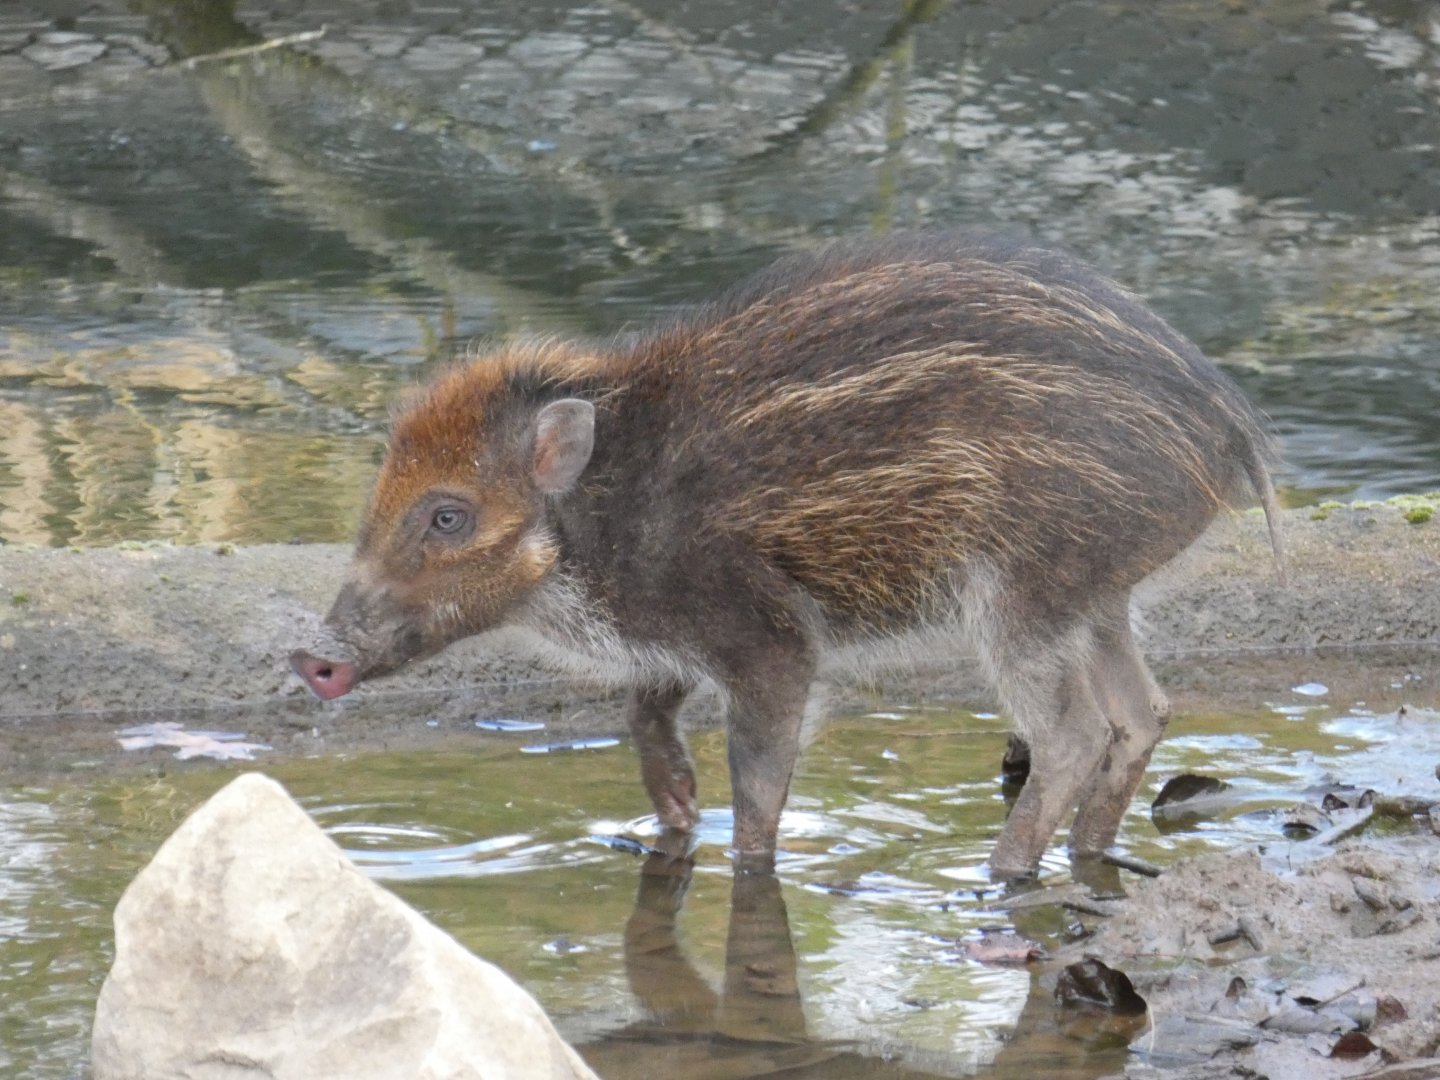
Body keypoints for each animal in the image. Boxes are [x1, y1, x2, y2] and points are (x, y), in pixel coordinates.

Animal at [292, 231, 1282, 881]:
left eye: (447, 516)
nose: (313, 655)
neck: (606, 516)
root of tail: (1231, 432)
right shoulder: (677, 645)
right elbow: (646, 712)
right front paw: (673, 816)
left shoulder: (770, 640)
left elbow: (760, 781)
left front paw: (742, 861)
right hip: (1097, 594)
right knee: (1144, 711)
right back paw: (1087, 852)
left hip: (1023, 593)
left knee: (1072, 733)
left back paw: (998, 875)